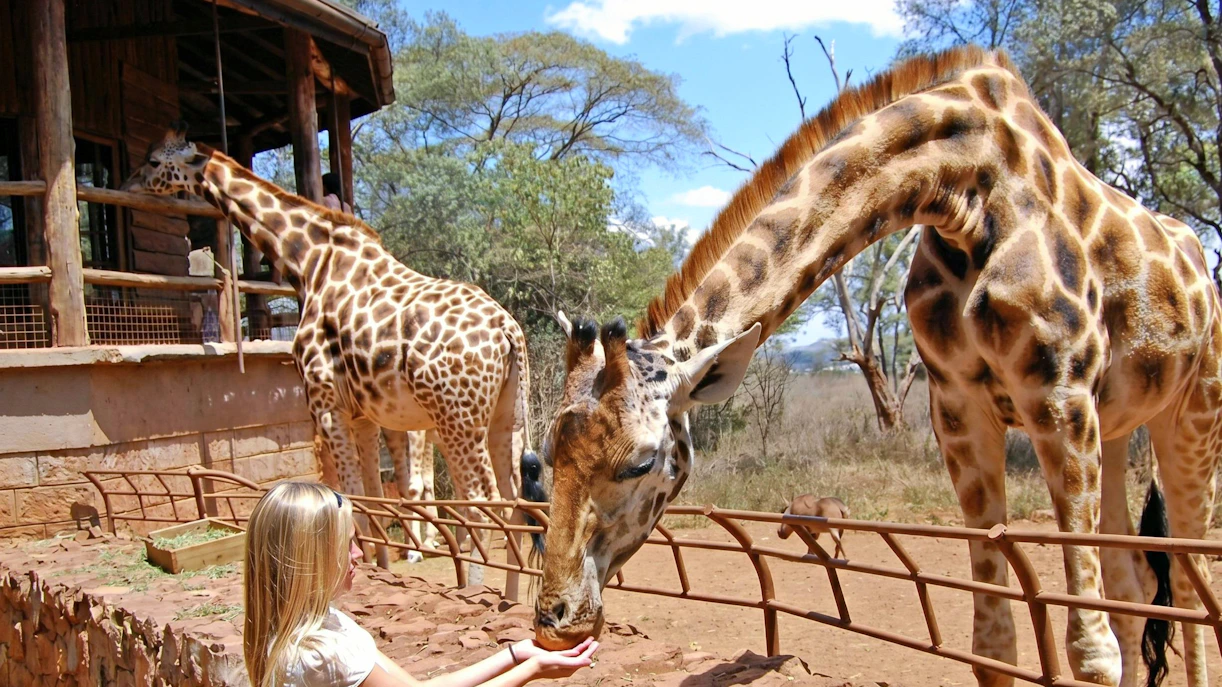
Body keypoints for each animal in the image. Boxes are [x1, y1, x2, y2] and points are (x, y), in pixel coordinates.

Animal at [120, 124, 536, 596]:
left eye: (154, 160)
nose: (127, 185)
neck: (308, 262)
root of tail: (508, 330)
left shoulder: (323, 403)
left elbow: (350, 496)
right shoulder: (364, 415)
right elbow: (373, 495)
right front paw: (380, 565)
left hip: (456, 418)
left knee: (482, 501)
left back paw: (475, 589)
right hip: (504, 415)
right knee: (514, 498)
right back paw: (507, 596)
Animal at [530, 46, 1222, 687]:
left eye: (641, 462)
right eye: (548, 456)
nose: (555, 620)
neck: (967, 188)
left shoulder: (1059, 394)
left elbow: (1091, 651)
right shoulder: (959, 410)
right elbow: (995, 644)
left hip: (1192, 415)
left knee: (1190, 586)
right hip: (1120, 423)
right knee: (1136, 582)